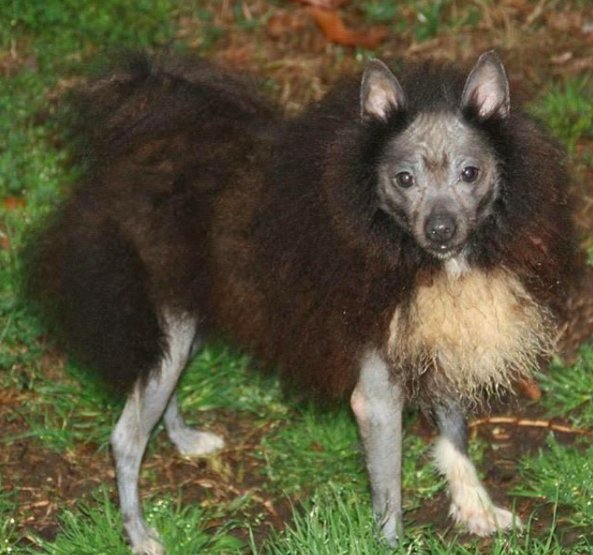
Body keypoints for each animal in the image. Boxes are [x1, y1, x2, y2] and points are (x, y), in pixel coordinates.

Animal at [26, 50, 572, 552]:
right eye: (404, 179)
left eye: (470, 172)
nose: (441, 230)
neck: (394, 241)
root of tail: (133, 149)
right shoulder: (376, 398)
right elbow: (390, 497)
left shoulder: (437, 339)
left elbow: (455, 431)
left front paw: (475, 506)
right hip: (170, 324)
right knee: (126, 436)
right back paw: (139, 534)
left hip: (185, 324)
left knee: (157, 391)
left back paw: (183, 439)